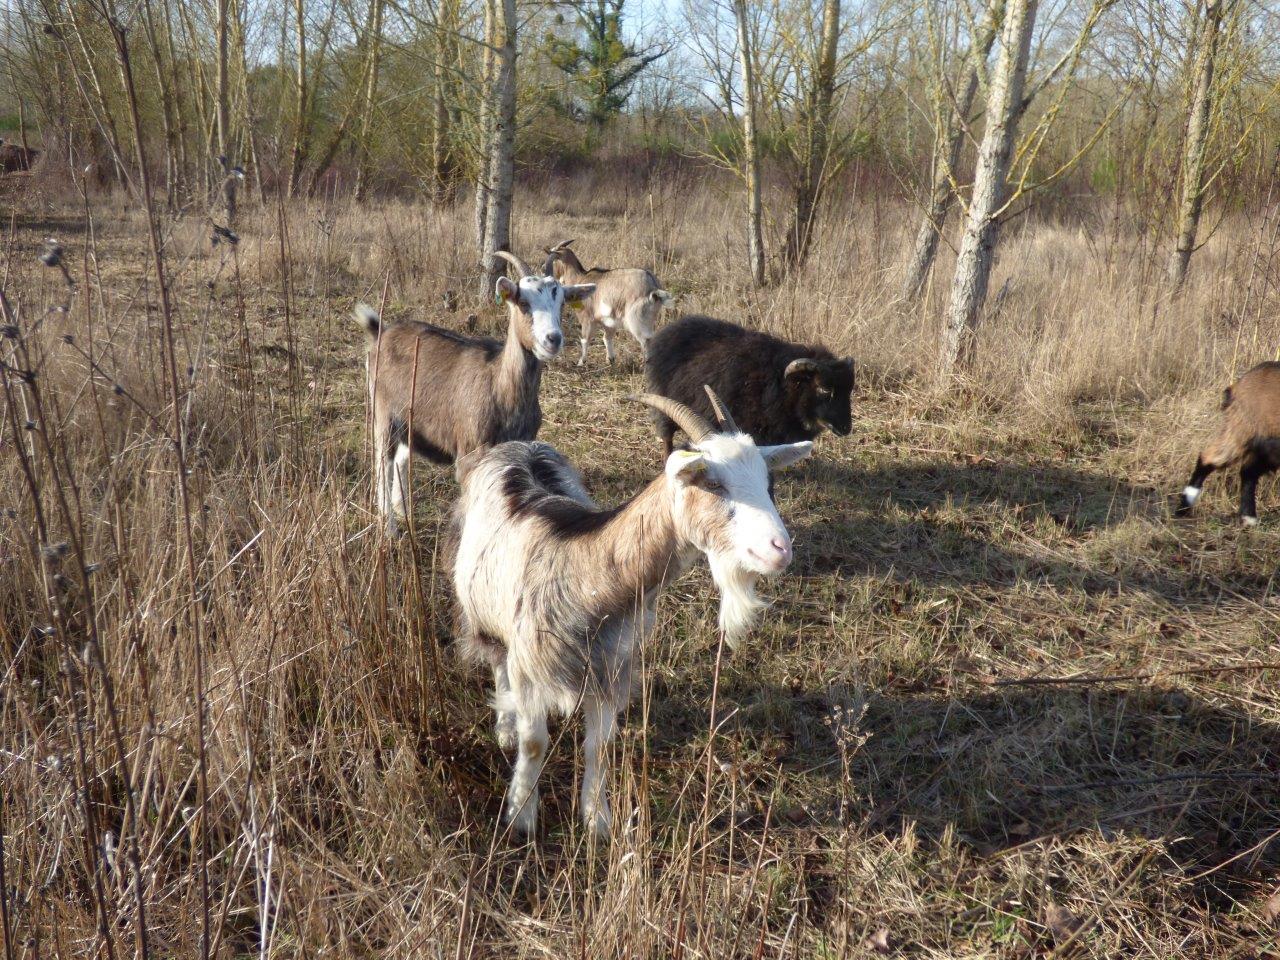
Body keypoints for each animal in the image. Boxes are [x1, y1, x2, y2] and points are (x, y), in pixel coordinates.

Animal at [358, 249, 591, 535]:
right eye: (523, 302)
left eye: (561, 303)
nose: (553, 339)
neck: (499, 386)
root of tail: (381, 332)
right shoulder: (469, 456)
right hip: (383, 413)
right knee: (383, 462)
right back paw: (389, 528)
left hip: (411, 419)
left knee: (402, 456)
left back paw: (403, 511)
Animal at [450, 386, 808, 839]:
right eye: (713, 482)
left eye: (768, 480)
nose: (780, 549)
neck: (583, 571)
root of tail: (517, 446)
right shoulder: (530, 667)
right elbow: (535, 743)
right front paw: (521, 818)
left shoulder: (611, 670)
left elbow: (599, 746)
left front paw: (597, 822)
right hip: (481, 610)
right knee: (496, 660)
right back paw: (505, 730)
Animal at [645, 313, 855, 453]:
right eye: (824, 389)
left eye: (849, 391)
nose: (846, 428)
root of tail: (671, 328)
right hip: (666, 401)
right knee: (666, 436)